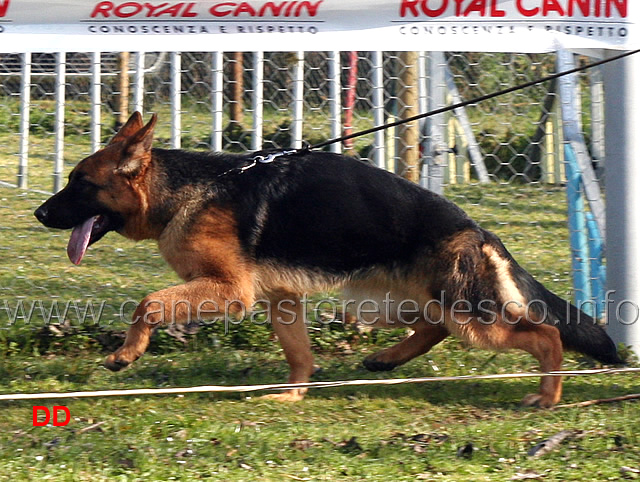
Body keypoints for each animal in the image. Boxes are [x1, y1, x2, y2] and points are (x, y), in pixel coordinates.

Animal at [33, 112, 620, 406]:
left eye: (80, 184)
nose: (39, 213)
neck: (183, 190)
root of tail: (476, 230)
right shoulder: (280, 299)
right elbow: (299, 354)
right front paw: (292, 395)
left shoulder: (230, 292)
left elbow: (149, 302)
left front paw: (126, 353)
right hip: (392, 302)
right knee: (434, 327)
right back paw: (386, 360)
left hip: (462, 315)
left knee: (545, 334)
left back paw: (547, 396)